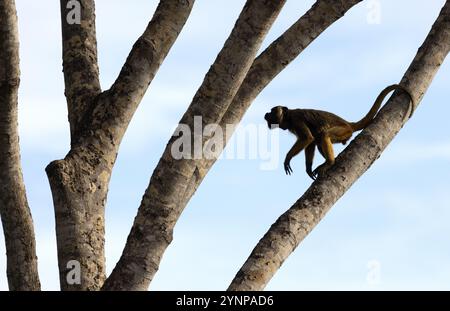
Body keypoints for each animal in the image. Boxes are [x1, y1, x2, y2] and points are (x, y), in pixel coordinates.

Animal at [264, 84, 414, 180]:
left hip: (344, 131)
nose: (266, 114)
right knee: (319, 140)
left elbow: (307, 138)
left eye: (272, 111)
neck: (288, 117)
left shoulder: (296, 120)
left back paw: (330, 162)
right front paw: (308, 168)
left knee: (323, 135)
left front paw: (287, 158)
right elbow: (310, 142)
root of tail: (348, 123)